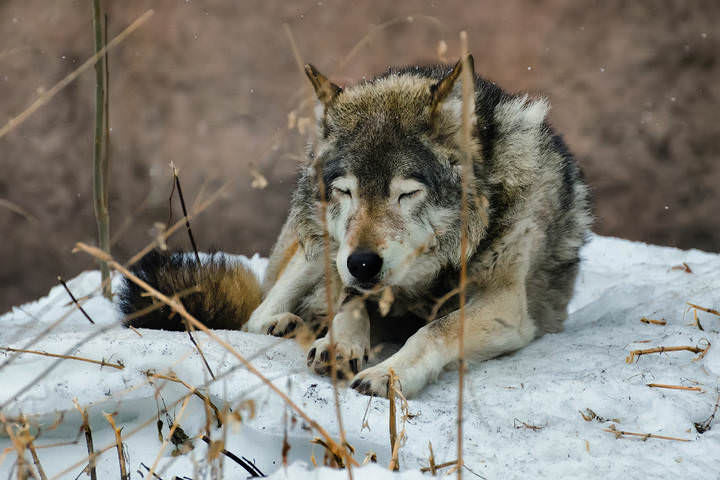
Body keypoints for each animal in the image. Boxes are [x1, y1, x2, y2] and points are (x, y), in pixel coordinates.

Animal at [120, 55, 592, 398]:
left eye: (406, 193)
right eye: (346, 192)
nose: (363, 263)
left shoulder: (506, 305)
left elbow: (433, 330)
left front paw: (389, 373)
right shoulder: (347, 269)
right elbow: (350, 302)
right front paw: (338, 343)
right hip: (316, 250)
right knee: (257, 314)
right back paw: (287, 324)